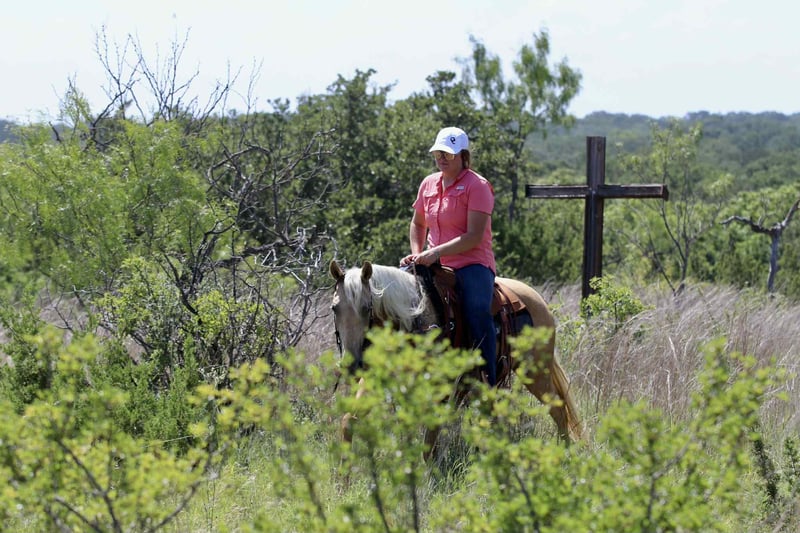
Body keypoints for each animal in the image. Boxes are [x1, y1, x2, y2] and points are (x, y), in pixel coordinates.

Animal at [329, 259, 582, 456]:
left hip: (535, 372)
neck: (414, 320)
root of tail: (538, 300)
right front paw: (344, 478)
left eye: (366, 307)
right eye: (334, 308)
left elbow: (429, 437)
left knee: (558, 410)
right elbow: (349, 421)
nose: (351, 365)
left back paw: (565, 454)